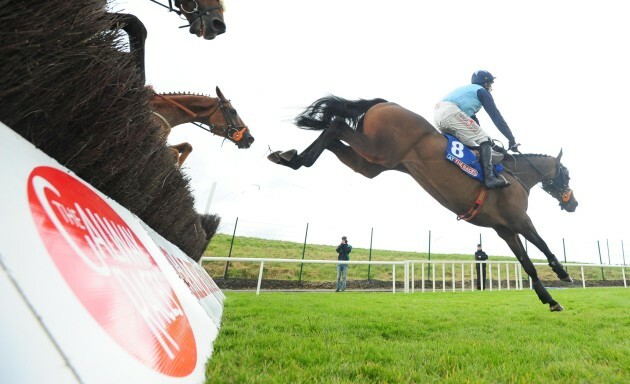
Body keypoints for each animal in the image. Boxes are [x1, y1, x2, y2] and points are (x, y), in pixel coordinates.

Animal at [270, 95, 580, 312]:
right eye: (567, 174)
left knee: (334, 138)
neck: (518, 176)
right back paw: (295, 158)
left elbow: (527, 263)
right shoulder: (519, 220)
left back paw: (291, 157)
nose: (573, 203)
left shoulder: (504, 229)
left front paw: (550, 299)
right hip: (378, 149)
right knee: (336, 125)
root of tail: (385, 103)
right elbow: (542, 244)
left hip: (372, 164)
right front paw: (563, 273)